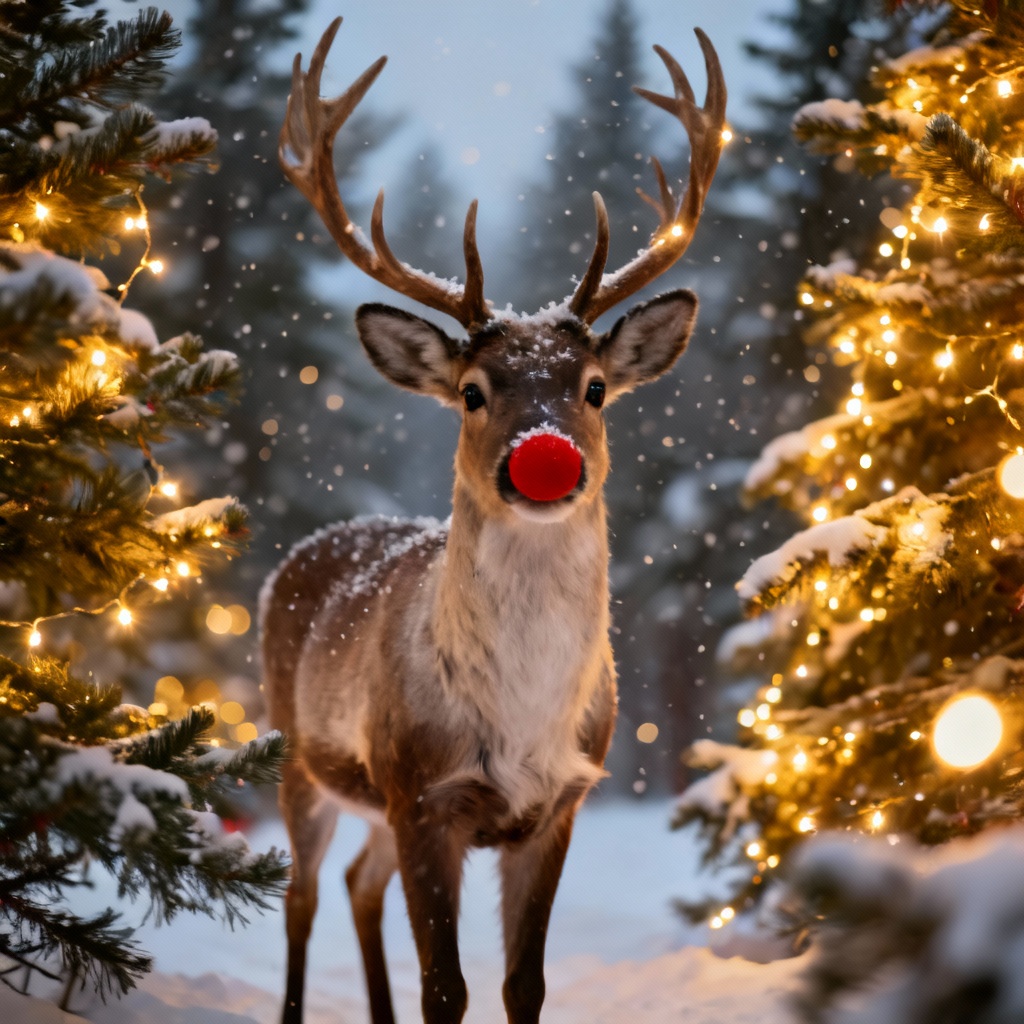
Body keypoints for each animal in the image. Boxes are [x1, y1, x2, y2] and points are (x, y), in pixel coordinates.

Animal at [263, 16, 725, 1024]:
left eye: (594, 388)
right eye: (473, 392)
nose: (546, 457)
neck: (516, 723)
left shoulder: (558, 804)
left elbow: (523, 984)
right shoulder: (420, 791)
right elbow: (447, 987)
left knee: (358, 886)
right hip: (299, 755)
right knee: (303, 895)